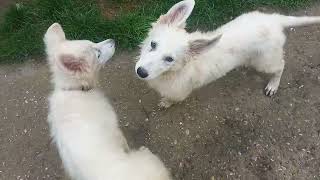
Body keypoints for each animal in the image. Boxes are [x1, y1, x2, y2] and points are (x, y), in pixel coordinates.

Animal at [44, 22, 172, 180]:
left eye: (92, 42)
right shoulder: (114, 127)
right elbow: (123, 141)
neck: (75, 89)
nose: (113, 40)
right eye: (97, 54)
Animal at [135, 0, 320, 107]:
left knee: (280, 65)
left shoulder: (179, 92)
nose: (141, 72)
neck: (170, 73)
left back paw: (273, 85)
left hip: (265, 61)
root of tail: (274, 20)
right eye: (153, 44)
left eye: (169, 59)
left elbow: (172, 99)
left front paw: (166, 102)